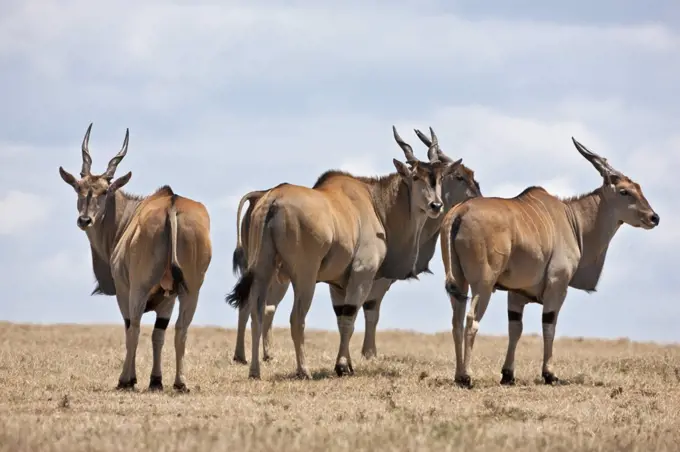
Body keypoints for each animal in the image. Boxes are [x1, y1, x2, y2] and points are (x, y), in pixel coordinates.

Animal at [59, 123, 211, 392]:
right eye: (79, 188)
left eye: (104, 191)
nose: (84, 220)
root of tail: (172, 203)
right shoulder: (168, 298)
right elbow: (159, 334)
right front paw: (156, 380)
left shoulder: (124, 290)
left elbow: (132, 329)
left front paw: (130, 379)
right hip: (192, 289)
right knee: (181, 329)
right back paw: (180, 382)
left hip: (139, 287)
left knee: (136, 328)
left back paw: (125, 380)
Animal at [226, 124, 464, 378]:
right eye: (416, 177)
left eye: (439, 178)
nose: (436, 205)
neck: (375, 203)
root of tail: (272, 199)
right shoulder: (362, 274)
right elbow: (350, 318)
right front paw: (342, 366)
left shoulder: (337, 284)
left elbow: (341, 319)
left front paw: (345, 364)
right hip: (304, 277)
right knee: (295, 317)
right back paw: (303, 370)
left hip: (263, 271)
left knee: (256, 313)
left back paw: (254, 370)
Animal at [440, 136, 660, 386]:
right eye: (625, 191)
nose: (654, 217)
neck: (573, 219)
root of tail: (459, 212)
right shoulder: (557, 285)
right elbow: (549, 326)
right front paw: (549, 374)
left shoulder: (516, 293)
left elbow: (515, 329)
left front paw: (508, 374)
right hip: (483, 284)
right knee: (471, 320)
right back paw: (467, 376)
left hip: (459, 282)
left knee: (456, 321)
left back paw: (458, 374)